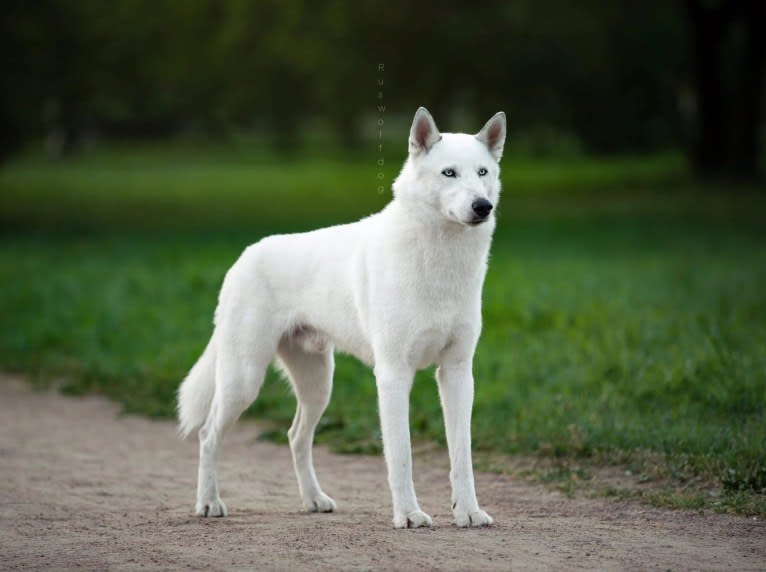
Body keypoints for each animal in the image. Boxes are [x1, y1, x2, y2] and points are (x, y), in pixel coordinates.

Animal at [177, 107, 508, 528]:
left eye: (483, 172)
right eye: (448, 173)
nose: (483, 207)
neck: (440, 260)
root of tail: (244, 256)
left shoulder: (457, 373)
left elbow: (461, 456)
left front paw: (467, 512)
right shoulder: (393, 375)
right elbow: (401, 456)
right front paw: (409, 515)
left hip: (319, 384)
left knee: (295, 436)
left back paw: (314, 500)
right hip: (244, 379)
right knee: (208, 434)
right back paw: (208, 503)